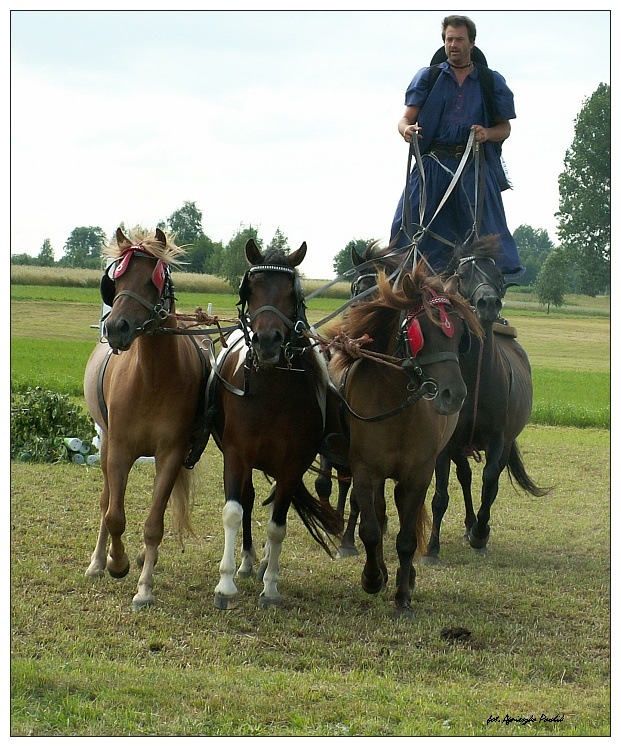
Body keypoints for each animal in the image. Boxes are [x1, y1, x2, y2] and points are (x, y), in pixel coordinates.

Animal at [83, 228, 209, 608]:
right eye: (117, 279)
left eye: (153, 280)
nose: (116, 327)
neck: (151, 377)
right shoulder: (120, 451)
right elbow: (113, 515)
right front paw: (116, 562)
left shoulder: (171, 454)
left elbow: (154, 523)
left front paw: (144, 587)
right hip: (105, 445)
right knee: (105, 502)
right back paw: (99, 561)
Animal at [211, 240, 342, 608]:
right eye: (250, 289)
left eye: (292, 293)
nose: (267, 340)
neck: (271, 391)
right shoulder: (236, 455)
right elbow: (233, 511)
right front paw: (226, 584)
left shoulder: (293, 464)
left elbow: (277, 525)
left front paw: (270, 588)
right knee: (248, 499)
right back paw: (247, 562)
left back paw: (266, 563)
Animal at [326, 264, 482, 620]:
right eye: (421, 331)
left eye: (460, 334)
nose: (454, 395)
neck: (397, 401)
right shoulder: (365, 471)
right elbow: (371, 529)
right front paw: (373, 577)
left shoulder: (418, 474)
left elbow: (408, 538)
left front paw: (403, 596)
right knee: (380, 513)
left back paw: (405, 576)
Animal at [422, 237, 548, 564]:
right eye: (463, 275)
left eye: (499, 278)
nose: (488, 303)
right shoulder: (447, 445)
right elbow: (441, 495)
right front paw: (432, 548)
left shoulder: (498, 439)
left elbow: (490, 481)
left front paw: (481, 532)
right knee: (464, 476)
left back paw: (475, 528)